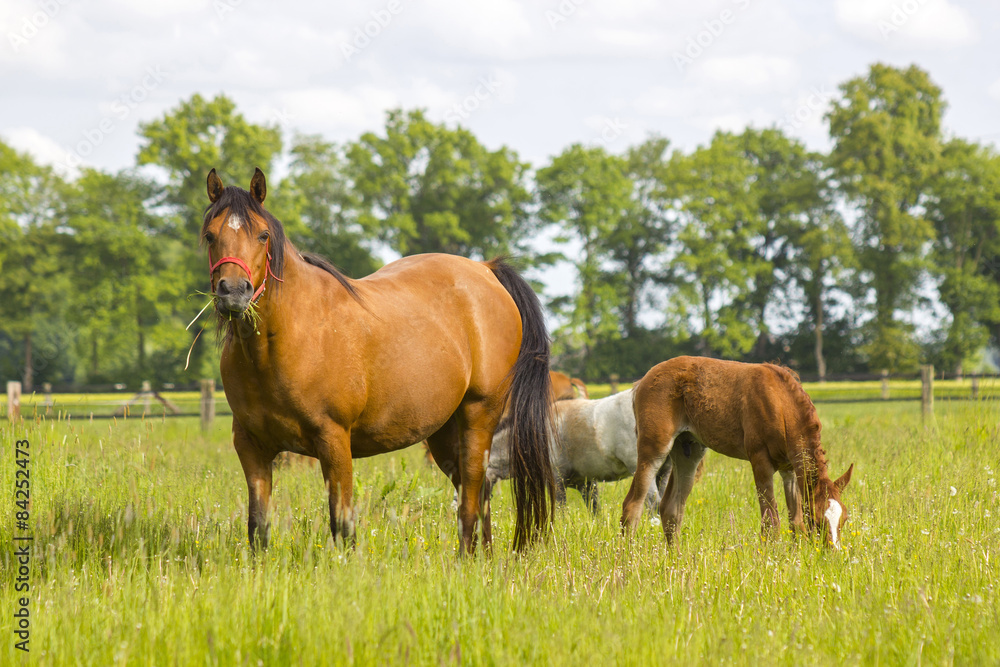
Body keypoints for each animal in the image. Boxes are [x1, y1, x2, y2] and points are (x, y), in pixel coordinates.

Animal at [198, 167, 552, 552]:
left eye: (262, 235)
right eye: (210, 235)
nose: (234, 292)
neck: (285, 343)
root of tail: (486, 270)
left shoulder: (334, 442)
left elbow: (342, 524)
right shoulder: (251, 446)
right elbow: (258, 527)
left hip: (479, 415)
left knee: (471, 499)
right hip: (445, 430)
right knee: (478, 494)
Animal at [486, 388, 704, 516]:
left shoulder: (556, 480)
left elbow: (561, 510)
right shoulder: (586, 484)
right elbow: (595, 510)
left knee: (653, 503)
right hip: (664, 472)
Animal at [624, 358, 852, 552]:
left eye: (844, 519)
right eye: (815, 519)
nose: (833, 551)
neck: (780, 403)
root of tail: (642, 381)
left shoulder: (790, 469)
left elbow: (795, 521)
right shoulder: (760, 460)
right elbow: (771, 520)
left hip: (687, 451)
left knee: (670, 508)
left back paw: (677, 559)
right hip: (654, 448)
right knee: (632, 505)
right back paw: (626, 559)